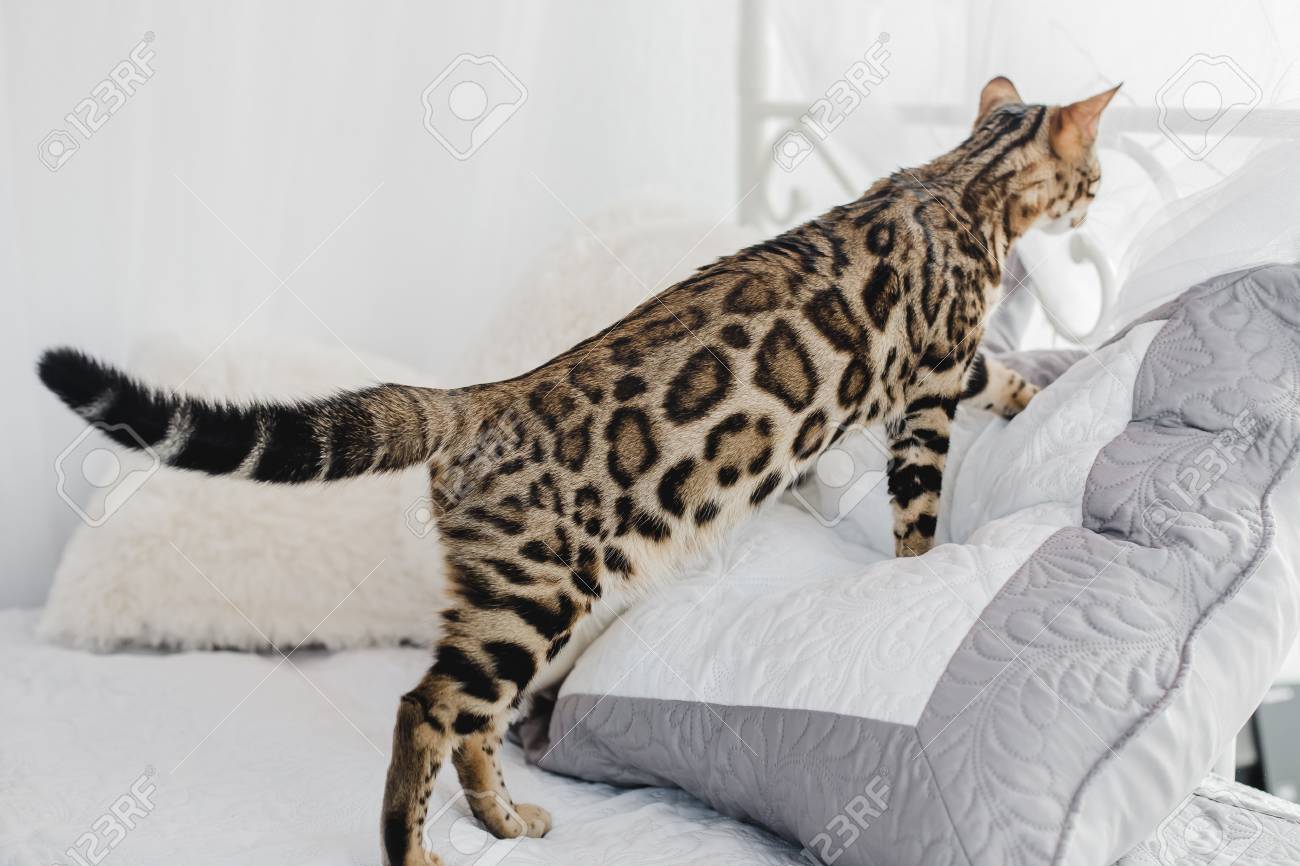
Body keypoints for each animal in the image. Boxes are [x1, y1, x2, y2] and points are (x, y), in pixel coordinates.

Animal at [38, 75, 1117, 866]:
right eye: (1096, 167)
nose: (1100, 195)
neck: (959, 179)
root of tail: (478, 397)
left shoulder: (948, 371)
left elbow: (998, 376)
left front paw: (1041, 389)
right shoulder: (924, 395)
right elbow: (918, 514)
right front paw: (920, 566)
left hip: (507, 599)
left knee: (474, 720)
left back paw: (507, 822)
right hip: (535, 594)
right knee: (427, 708)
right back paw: (412, 851)